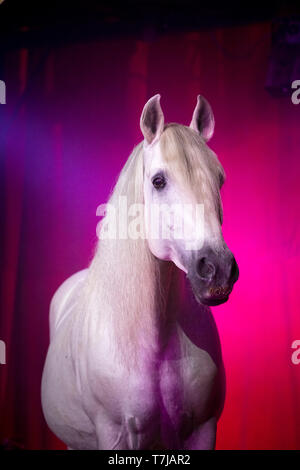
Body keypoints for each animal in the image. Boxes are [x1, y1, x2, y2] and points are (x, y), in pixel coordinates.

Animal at [41, 93, 239, 450]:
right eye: (158, 181)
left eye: (220, 179)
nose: (217, 268)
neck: (157, 344)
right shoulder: (114, 434)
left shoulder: (204, 430)